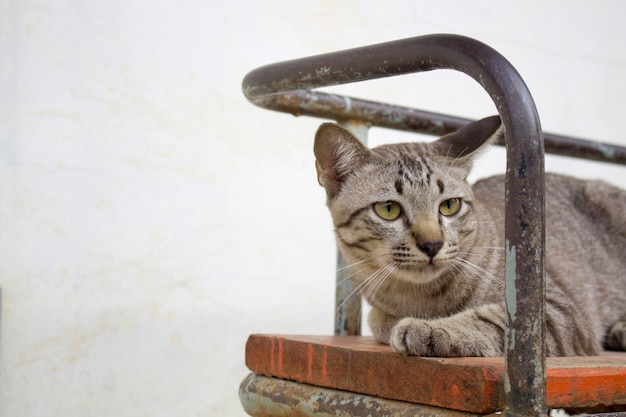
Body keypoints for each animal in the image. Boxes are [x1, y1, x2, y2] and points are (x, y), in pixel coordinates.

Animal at [312, 115, 624, 356]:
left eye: (450, 206)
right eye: (388, 209)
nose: (432, 244)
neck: (420, 297)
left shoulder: (550, 312)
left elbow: (491, 318)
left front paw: (432, 328)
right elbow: (377, 318)